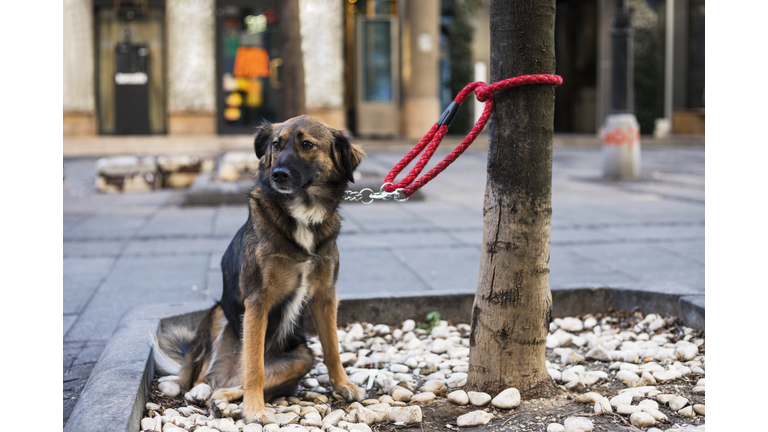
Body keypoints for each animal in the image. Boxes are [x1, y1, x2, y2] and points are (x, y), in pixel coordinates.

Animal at [153, 115, 366, 422]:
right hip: (219, 315)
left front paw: (343, 384)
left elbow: (332, 349)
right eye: (276, 145)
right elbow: (254, 366)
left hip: (302, 357)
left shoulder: (325, 296)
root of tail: (225, 376)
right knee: (200, 370)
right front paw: (254, 410)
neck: (302, 215)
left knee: (233, 384)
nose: (278, 175)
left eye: (306, 144)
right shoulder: (257, 300)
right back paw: (195, 389)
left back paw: (220, 400)